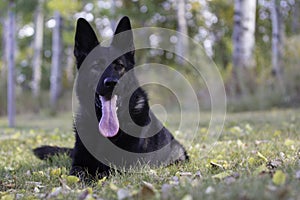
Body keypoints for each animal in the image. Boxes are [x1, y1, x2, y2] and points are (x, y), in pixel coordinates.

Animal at [32, 16, 188, 179]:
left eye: (119, 65)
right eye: (96, 66)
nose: (112, 83)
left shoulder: (124, 167)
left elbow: (103, 172)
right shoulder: (78, 164)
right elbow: (79, 173)